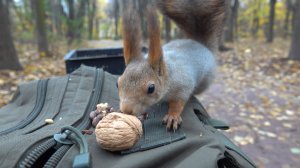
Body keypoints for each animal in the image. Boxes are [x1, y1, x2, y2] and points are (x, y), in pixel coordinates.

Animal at [117, 0, 225, 131]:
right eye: (117, 84)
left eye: (151, 88)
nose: (126, 110)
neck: (169, 73)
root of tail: (200, 44)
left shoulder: (183, 86)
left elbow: (178, 103)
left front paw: (172, 116)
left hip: (205, 81)